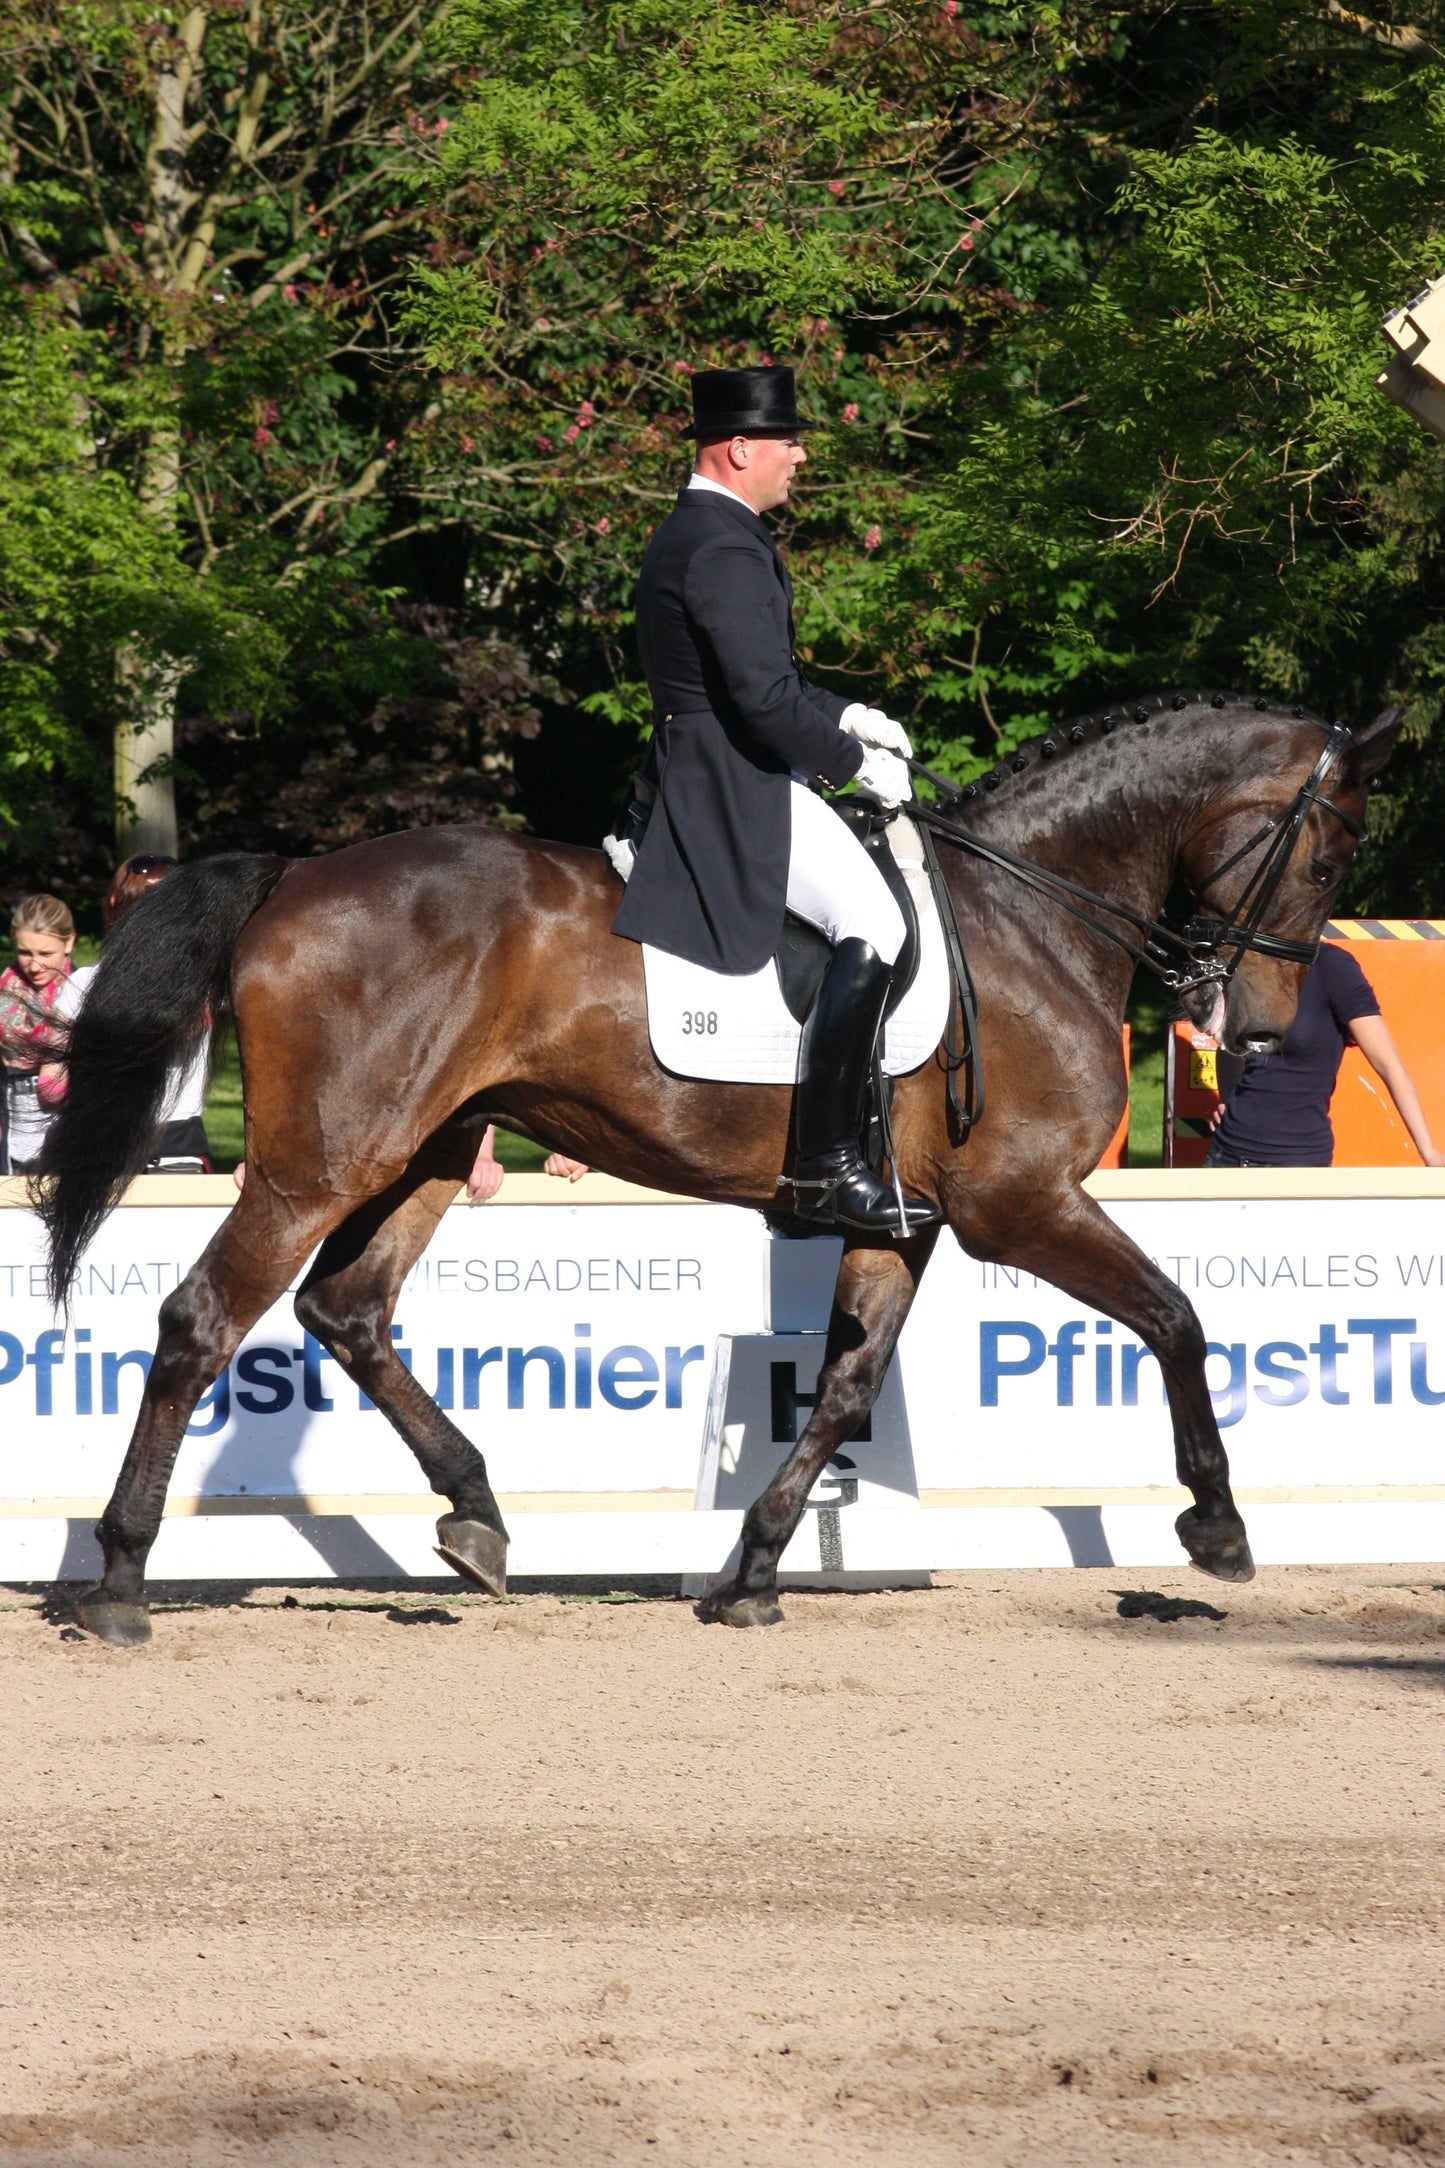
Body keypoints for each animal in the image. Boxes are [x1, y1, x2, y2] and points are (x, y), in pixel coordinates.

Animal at [34, 693, 1398, 1645]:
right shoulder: (1020, 1203)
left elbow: (844, 1388)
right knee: (203, 1318)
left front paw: (748, 1572)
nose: (1256, 1029)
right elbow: (1175, 1316)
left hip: (423, 1147)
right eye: (1328, 858)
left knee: (347, 1309)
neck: (1030, 914)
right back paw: (119, 1578)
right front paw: (1216, 1526)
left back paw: (476, 1516)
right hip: (319, 1159)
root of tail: (297, 872)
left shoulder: (901, 1219)